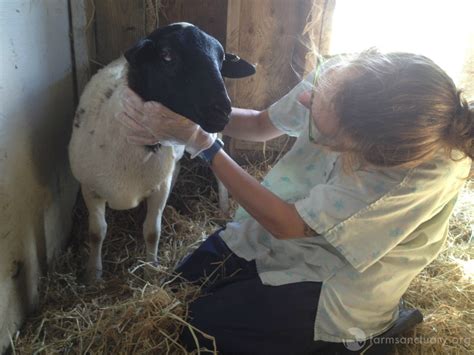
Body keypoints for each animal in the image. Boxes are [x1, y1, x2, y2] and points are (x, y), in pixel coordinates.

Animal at [66, 23, 256, 284]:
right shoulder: (90, 188)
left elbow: (152, 232)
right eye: (167, 56)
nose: (223, 111)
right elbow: (96, 232)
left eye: (220, 59)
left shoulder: (158, 189)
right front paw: (93, 275)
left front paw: (150, 269)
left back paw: (224, 206)